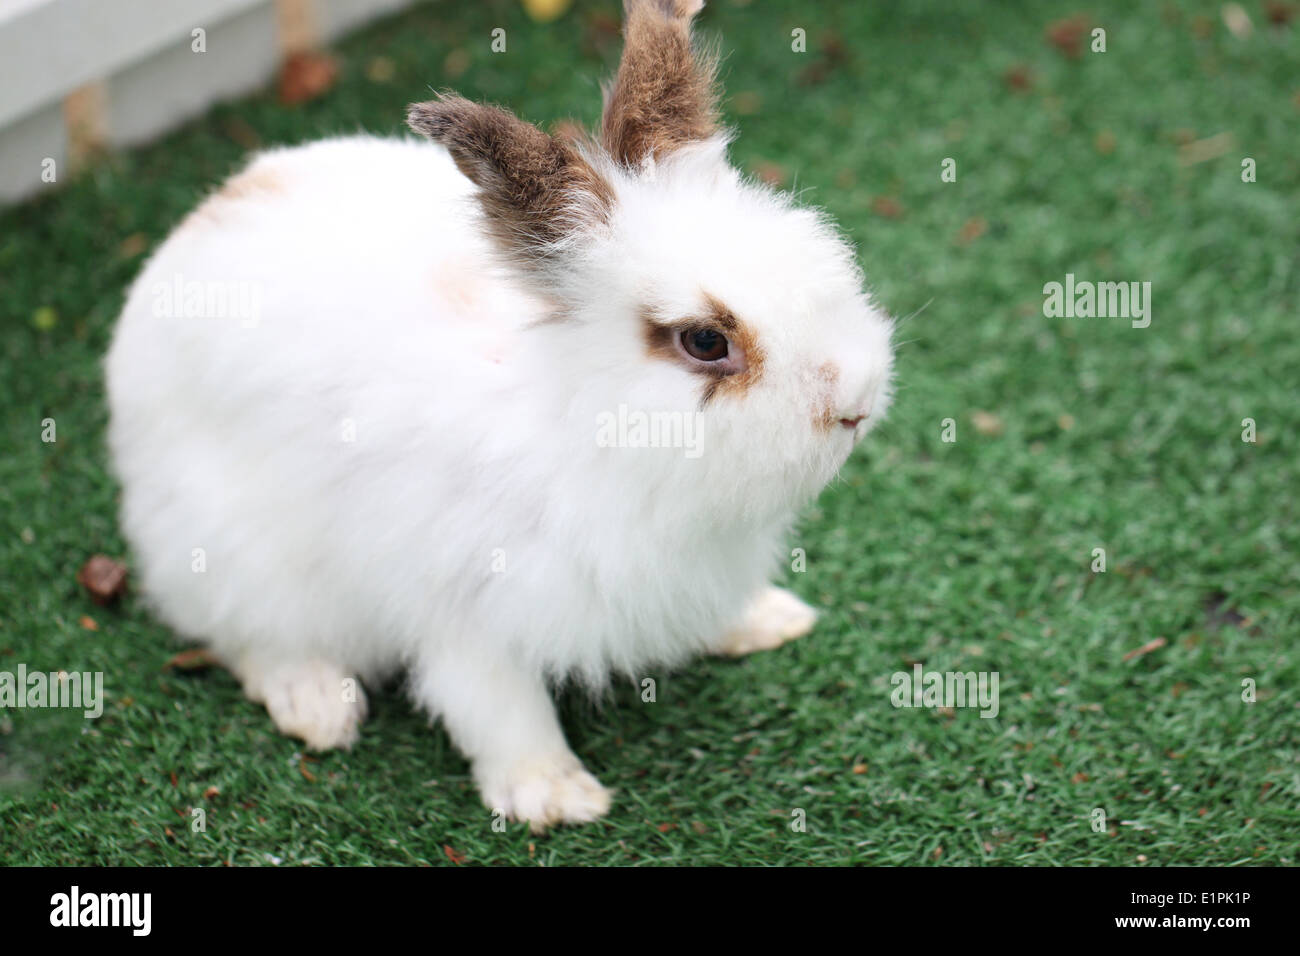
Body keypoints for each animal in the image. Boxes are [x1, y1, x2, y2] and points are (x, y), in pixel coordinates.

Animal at [105, 0, 894, 832]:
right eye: (705, 341)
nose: (856, 403)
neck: (598, 432)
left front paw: (763, 620)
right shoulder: (464, 608)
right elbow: (498, 708)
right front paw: (556, 797)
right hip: (232, 554)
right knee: (245, 638)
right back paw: (319, 707)